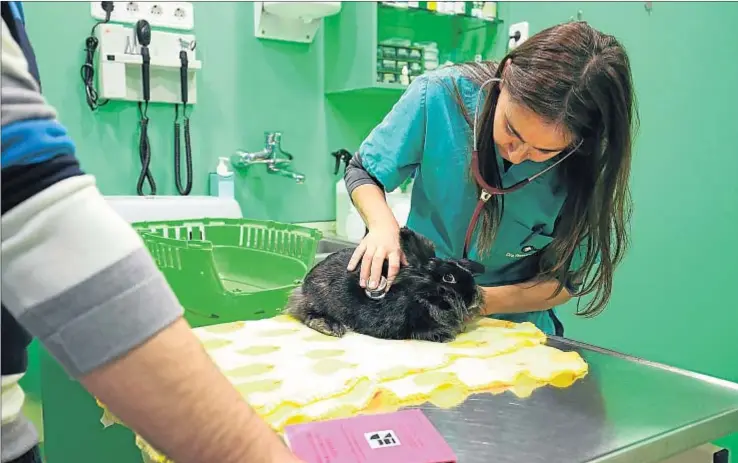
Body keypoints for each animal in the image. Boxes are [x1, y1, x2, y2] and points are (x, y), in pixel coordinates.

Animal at [282, 228, 484, 344]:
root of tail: (303, 287)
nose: (474, 298)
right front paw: (444, 334)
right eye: (449, 277)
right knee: (308, 314)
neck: (419, 293)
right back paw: (331, 326)